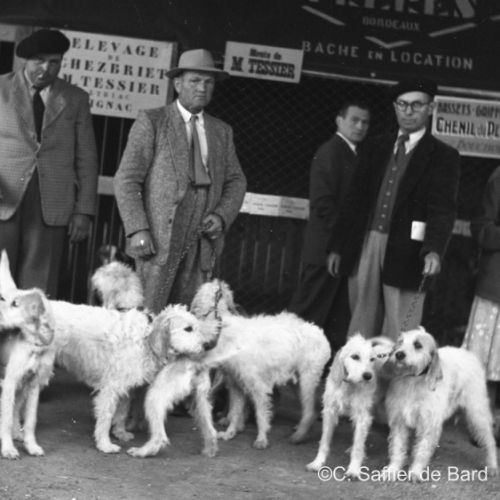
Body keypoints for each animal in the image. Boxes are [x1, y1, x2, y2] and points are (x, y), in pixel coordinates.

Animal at [0, 284, 56, 459]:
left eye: (15, 304)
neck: (34, 345)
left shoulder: (33, 385)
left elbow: (31, 420)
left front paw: (31, 445)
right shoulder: (9, 382)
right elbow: (6, 418)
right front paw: (8, 448)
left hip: (21, 389)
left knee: (16, 409)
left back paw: (17, 433)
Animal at [190, 279, 331, 449]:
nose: (218, 281)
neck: (222, 328)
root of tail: (320, 333)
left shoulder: (258, 386)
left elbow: (260, 414)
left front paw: (262, 438)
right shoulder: (236, 386)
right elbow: (235, 411)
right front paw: (230, 433)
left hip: (307, 380)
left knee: (310, 410)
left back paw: (299, 435)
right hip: (297, 383)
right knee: (312, 409)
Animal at [306, 334, 381, 478]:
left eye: (372, 359)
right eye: (355, 356)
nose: (368, 376)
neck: (350, 386)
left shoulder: (363, 417)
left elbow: (358, 446)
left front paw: (354, 469)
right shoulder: (330, 412)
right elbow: (324, 441)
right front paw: (318, 463)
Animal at [383, 327, 498, 482]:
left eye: (418, 345)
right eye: (400, 342)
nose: (399, 354)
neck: (412, 381)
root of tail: (467, 354)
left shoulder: (428, 424)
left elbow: (422, 450)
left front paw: (415, 472)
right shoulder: (399, 422)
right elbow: (397, 448)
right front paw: (392, 470)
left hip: (477, 414)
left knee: (490, 441)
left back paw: (492, 466)